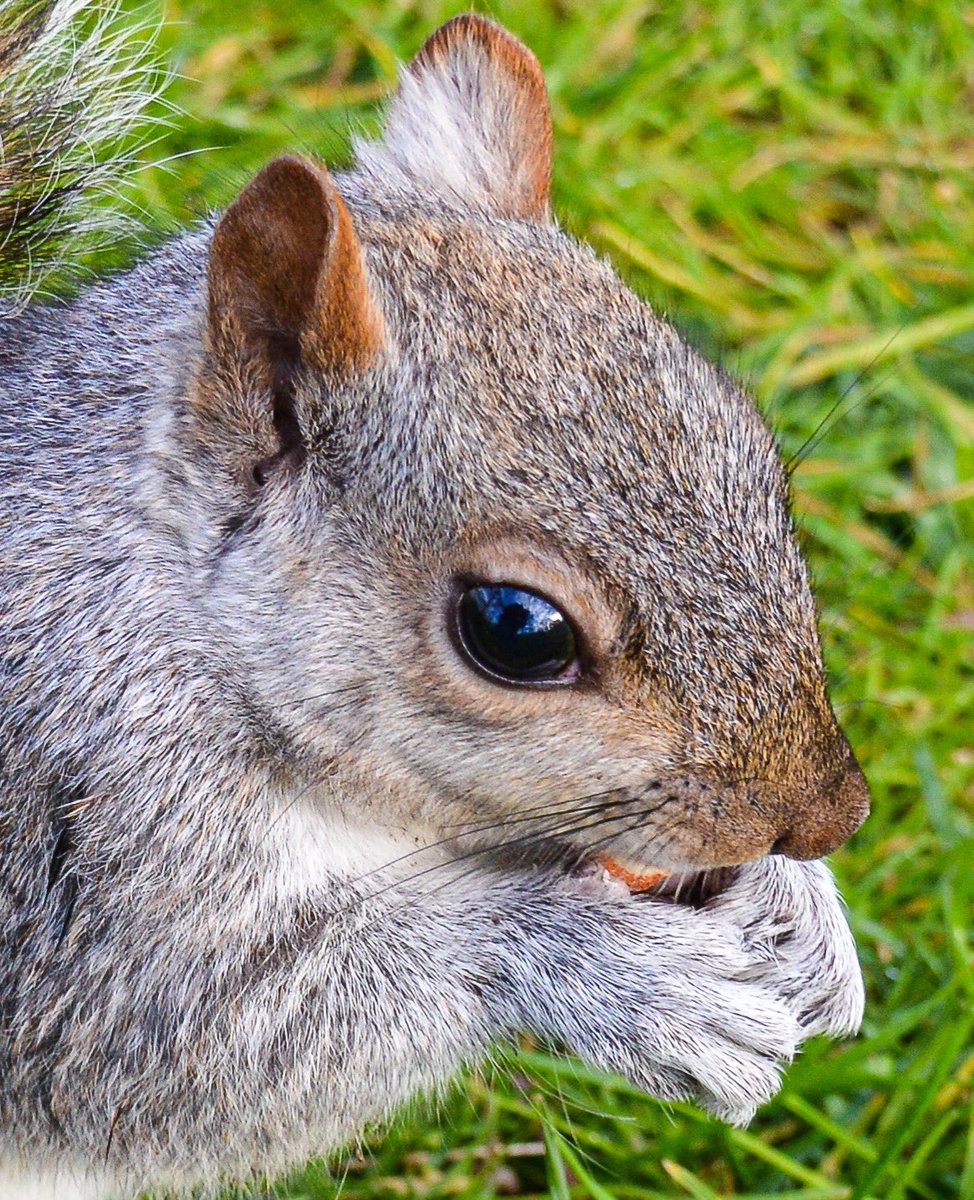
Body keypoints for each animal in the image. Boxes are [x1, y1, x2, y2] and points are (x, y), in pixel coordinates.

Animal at [0, 3, 871, 1199]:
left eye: (757, 458)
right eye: (515, 630)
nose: (831, 816)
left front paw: (799, 909)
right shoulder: (81, 856)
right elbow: (184, 1052)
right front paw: (607, 974)